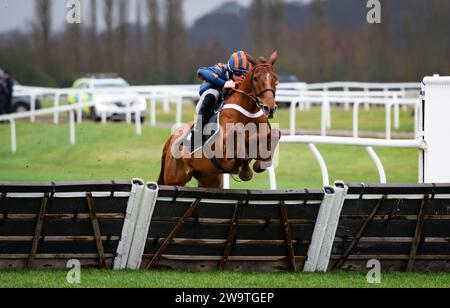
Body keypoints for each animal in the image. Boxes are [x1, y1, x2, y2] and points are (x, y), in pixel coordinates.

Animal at [157, 51, 278, 188]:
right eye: (256, 78)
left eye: (275, 79)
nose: (270, 108)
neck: (248, 112)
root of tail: (170, 139)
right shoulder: (224, 150)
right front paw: (245, 170)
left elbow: (274, 134)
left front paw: (260, 162)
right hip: (174, 179)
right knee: (210, 93)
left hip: (209, 179)